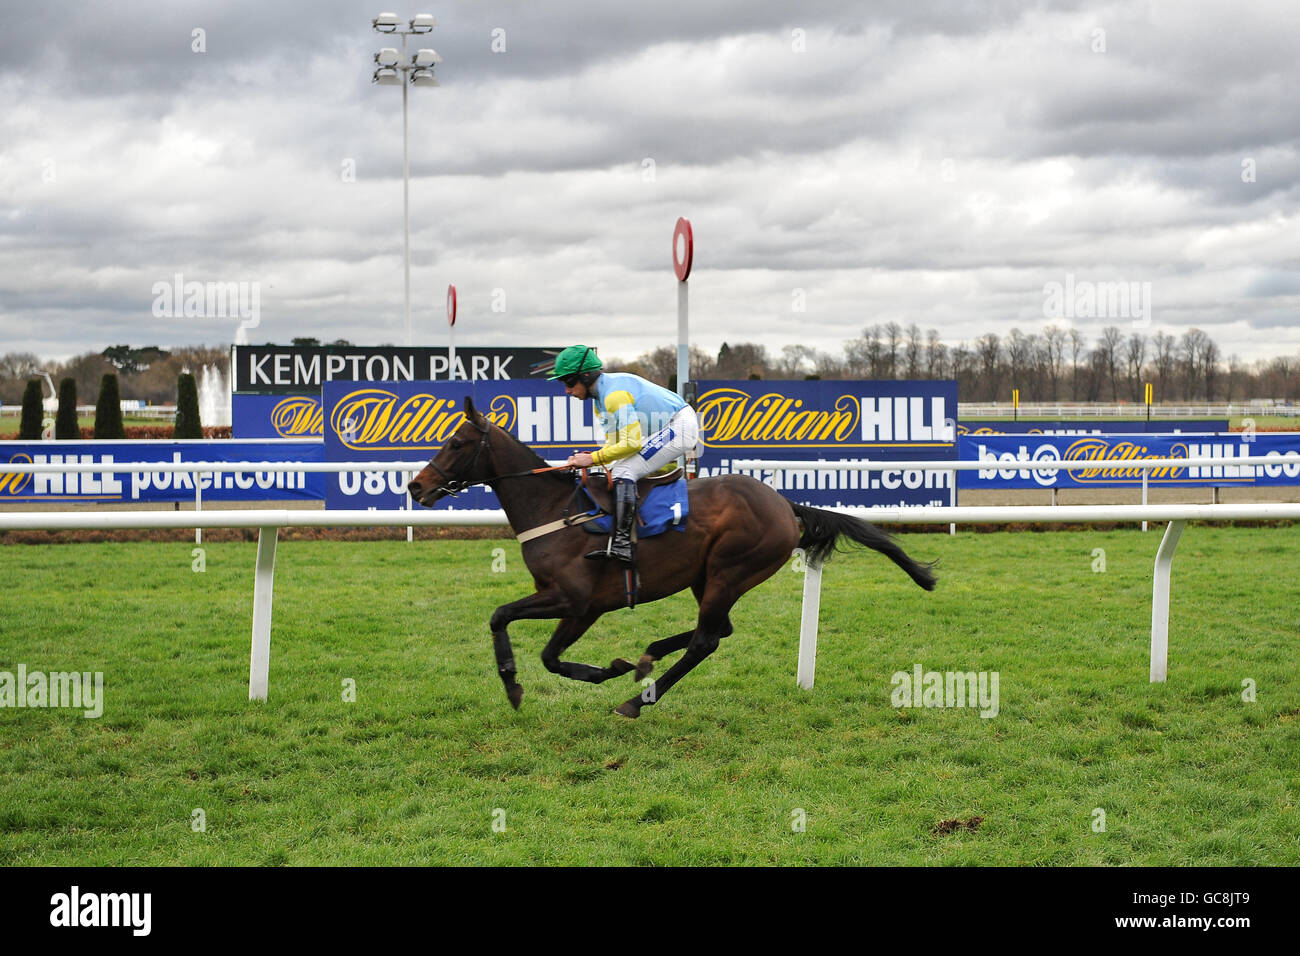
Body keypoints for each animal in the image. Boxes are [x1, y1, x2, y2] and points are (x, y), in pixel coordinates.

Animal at [408, 395, 935, 717]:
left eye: (456, 442)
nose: (416, 486)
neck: (556, 509)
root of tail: (784, 503)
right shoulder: (571, 603)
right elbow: (535, 645)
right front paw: (607, 669)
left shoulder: (576, 601)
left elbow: (519, 631)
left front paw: (522, 683)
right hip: (708, 578)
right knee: (719, 630)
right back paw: (647, 658)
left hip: (729, 570)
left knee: (706, 639)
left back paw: (639, 698)